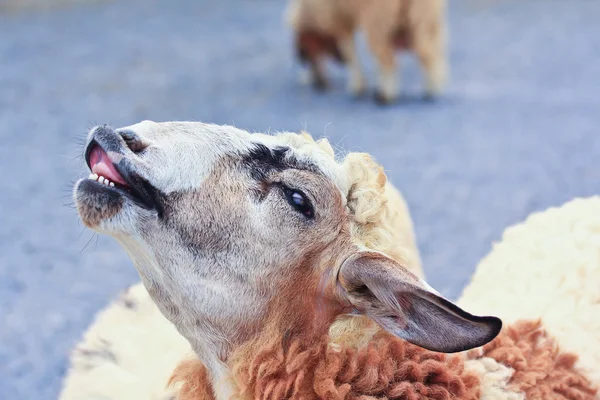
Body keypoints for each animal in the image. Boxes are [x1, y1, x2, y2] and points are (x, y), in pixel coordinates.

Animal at [288, 0, 450, 104]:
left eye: (306, 54)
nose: (319, 85)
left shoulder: (341, 18)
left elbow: (349, 50)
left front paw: (357, 86)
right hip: (425, 19)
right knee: (430, 55)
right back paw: (430, 90)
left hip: (379, 20)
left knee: (389, 61)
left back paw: (385, 96)